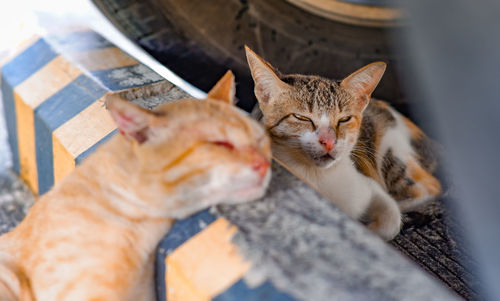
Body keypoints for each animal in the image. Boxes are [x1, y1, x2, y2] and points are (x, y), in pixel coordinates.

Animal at [246, 47, 442, 239]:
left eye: (344, 119)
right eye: (301, 117)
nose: (329, 141)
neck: (317, 176)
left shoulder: (368, 184)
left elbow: (391, 219)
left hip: (391, 148)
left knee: (430, 187)